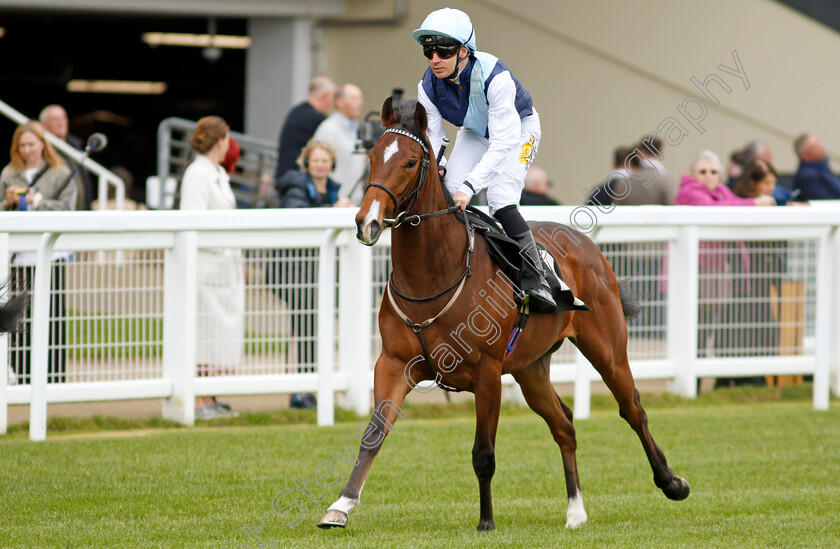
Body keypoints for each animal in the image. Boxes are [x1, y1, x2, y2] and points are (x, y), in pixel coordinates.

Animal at [316, 97, 688, 532]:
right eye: (373, 156)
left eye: (410, 161)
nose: (367, 222)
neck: (433, 275)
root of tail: (586, 245)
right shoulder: (393, 363)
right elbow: (373, 434)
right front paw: (340, 506)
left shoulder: (487, 372)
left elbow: (483, 453)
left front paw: (486, 522)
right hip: (530, 368)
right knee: (564, 424)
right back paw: (575, 510)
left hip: (607, 349)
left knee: (632, 408)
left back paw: (671, 482)